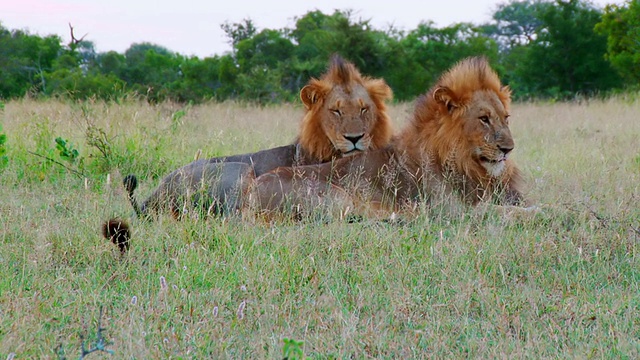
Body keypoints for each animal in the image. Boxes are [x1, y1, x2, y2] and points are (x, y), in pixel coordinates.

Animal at [249, 56, 524, 219]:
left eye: (506, 118)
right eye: (484, 119)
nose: (508, 149)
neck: (469, 164)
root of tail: (250, 194)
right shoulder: (454, 209)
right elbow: (509, 212)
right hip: (338, 197)